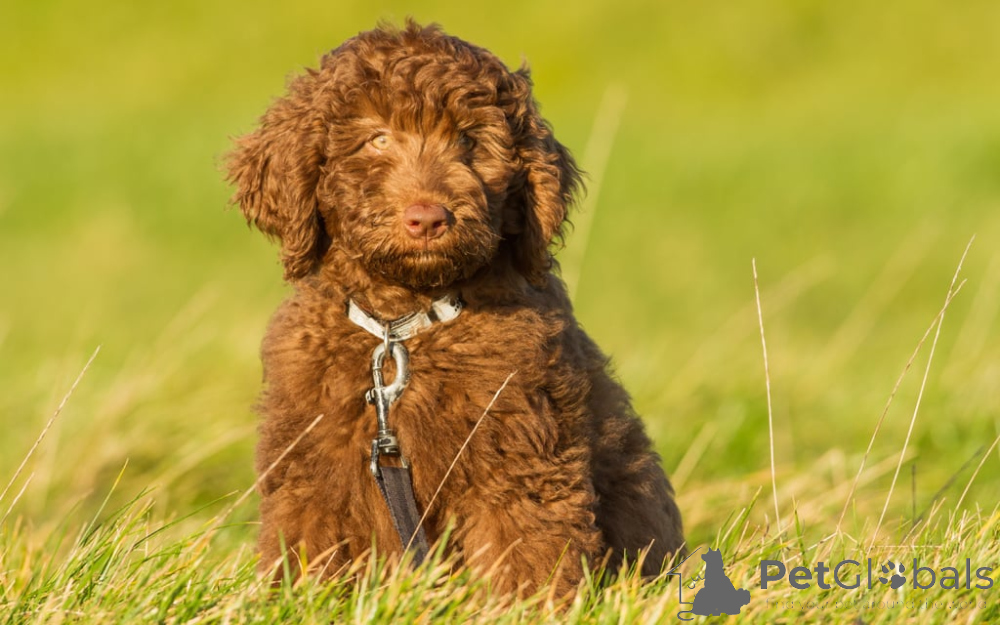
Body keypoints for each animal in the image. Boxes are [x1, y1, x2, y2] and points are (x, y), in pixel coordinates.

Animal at [226, 21, 683, 596]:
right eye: (377, 138)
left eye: (468, 140)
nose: (427, 218)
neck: (403, 325)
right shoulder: (309, 465)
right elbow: (306, 550)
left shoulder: (518, 458)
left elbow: (524, 558)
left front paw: (527, 607)